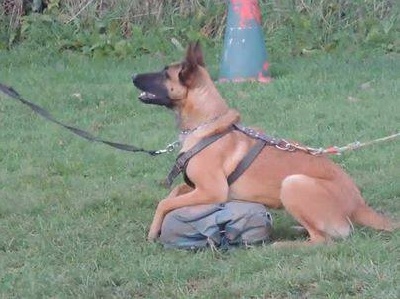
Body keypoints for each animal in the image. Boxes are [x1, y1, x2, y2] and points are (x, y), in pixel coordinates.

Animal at [132, 41, 396, 246]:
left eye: (164, 74)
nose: (132, 76)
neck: (207, 126)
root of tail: (358, 203)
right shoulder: (198, 187)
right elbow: (175, 191)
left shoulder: (213, 190)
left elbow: (164, 202)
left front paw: (153, 232)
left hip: (293, 184)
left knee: (323, 240)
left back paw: (283, 245)